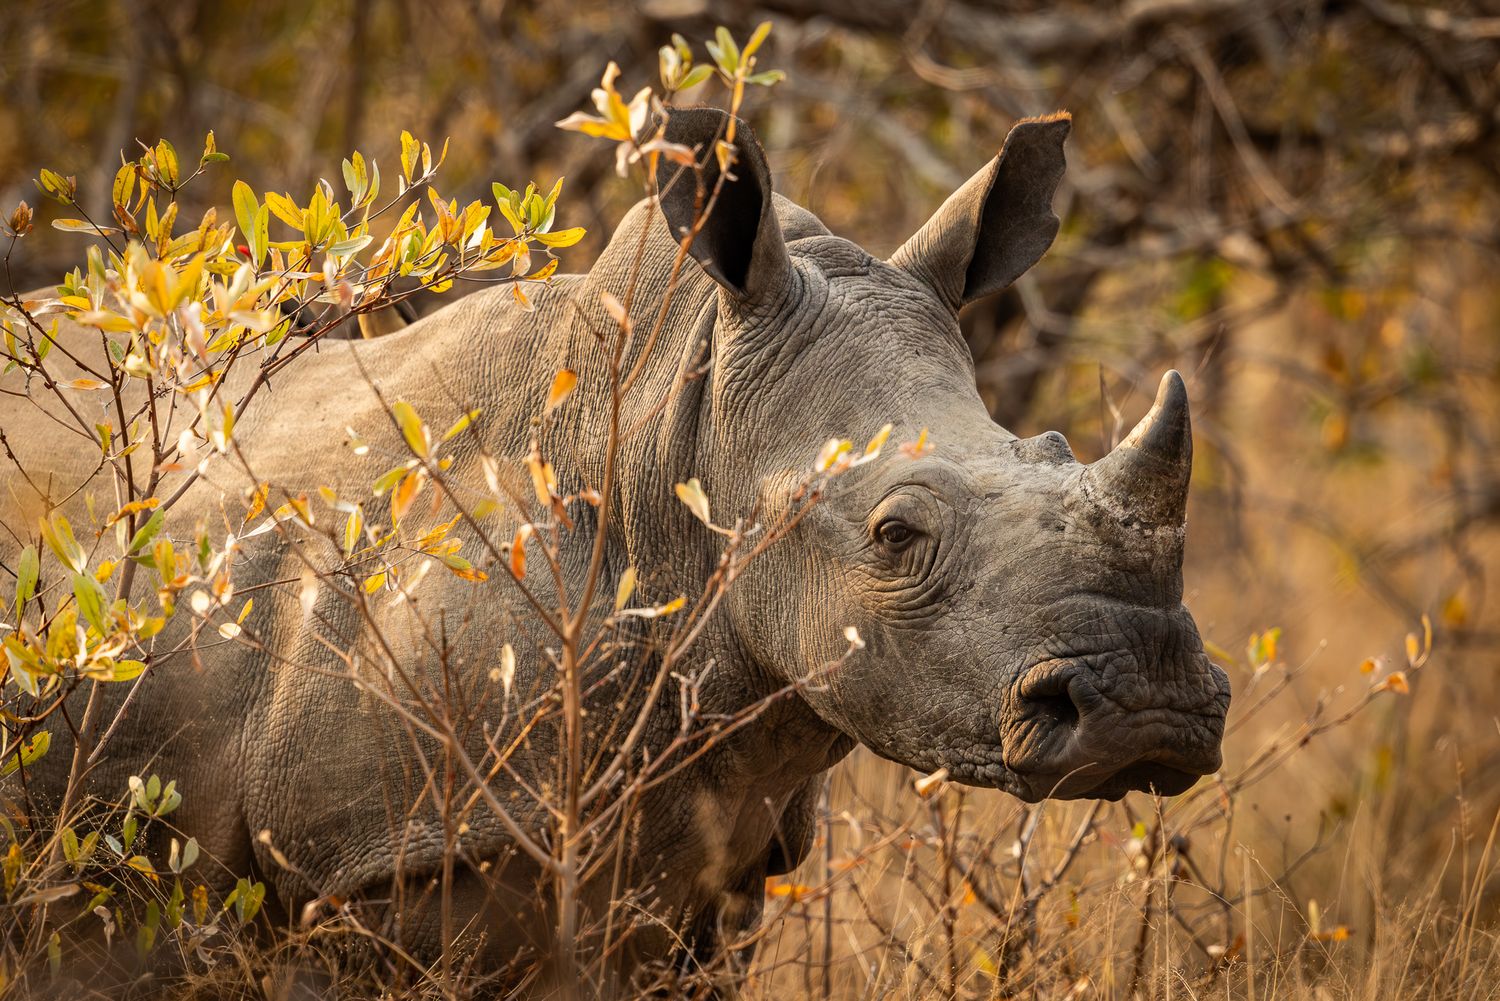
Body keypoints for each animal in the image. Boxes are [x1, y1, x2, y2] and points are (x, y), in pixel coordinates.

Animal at [0, 107, 1230, 986]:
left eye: (1051, 445)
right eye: (896, 534)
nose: (1148, 706)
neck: (665, 450)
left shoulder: (717, 879)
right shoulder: (344, 873)